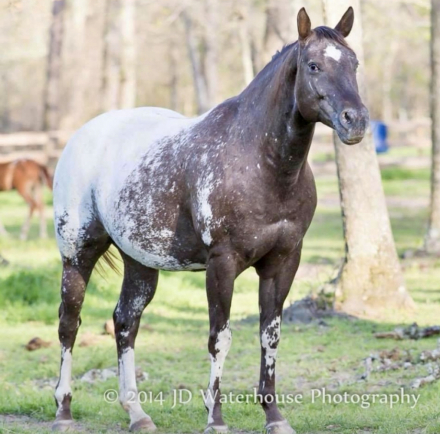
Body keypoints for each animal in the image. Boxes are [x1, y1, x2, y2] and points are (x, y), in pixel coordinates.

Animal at [50, 7, 368, 434]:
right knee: (69, 323)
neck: (260, 163)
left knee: (125, 322)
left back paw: (137, 413)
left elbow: (270, 336)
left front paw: (274, 416)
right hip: (78, 254)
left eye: (354, 63)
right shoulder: (222, 263)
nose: (356, 121)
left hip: (140, 262)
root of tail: (80, 136)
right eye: (313, 65)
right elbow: (220, 337)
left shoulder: (283, 262)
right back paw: (64, 410)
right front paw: (215, 418)